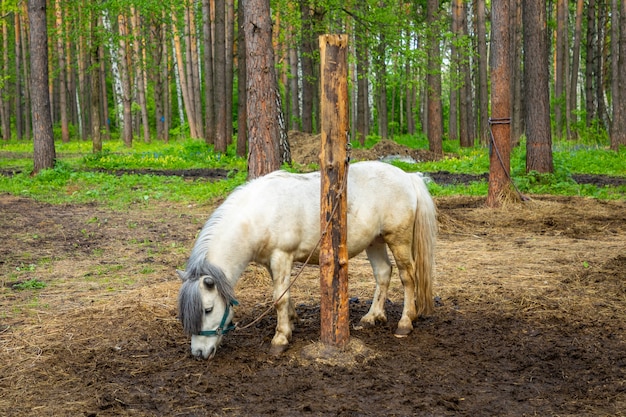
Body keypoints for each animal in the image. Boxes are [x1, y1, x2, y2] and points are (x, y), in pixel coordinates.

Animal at [176, 159, 434, 358]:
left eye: (208, 309)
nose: (198, 353)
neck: (259, 213)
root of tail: (407, 176)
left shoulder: (282, 256)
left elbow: (279, 298)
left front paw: (280, 339)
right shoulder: (272, 262)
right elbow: (283, 294)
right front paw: (291, 322)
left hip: (398, 239)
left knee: (407, 277)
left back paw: (405, 323)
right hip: (375, 241)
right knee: (383, 273)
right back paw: (372, 317)